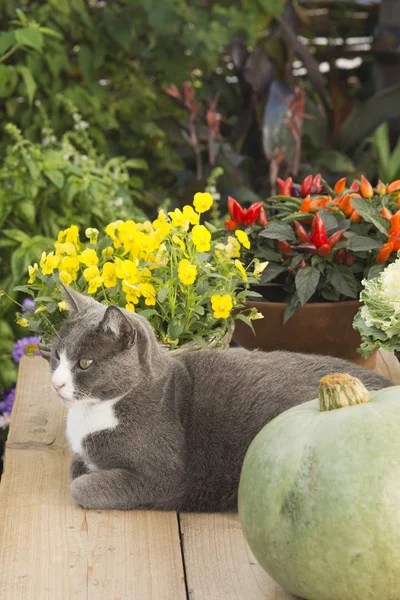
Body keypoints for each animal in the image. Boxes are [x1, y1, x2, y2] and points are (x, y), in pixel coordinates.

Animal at [49, 286, 390, 510]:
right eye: (56, 355)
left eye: (85, 363)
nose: (55, 383)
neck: (95, 411)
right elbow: (77, 464)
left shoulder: (166, 475)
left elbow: (81, 485)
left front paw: (88, 479)